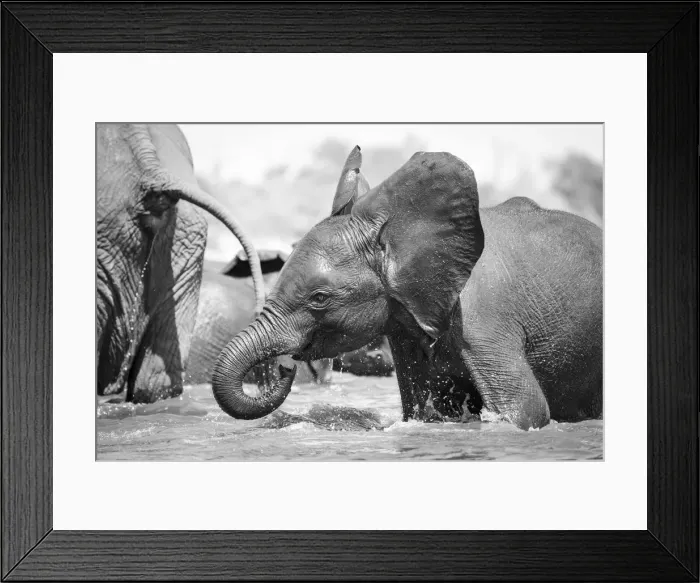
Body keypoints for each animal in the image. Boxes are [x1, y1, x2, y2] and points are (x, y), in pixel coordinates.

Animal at [209, 146, 603, 430]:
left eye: (319, 298)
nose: (286, 367)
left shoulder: (486, 323)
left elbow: (526, 412)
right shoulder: (403, 326)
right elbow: (422, 412)